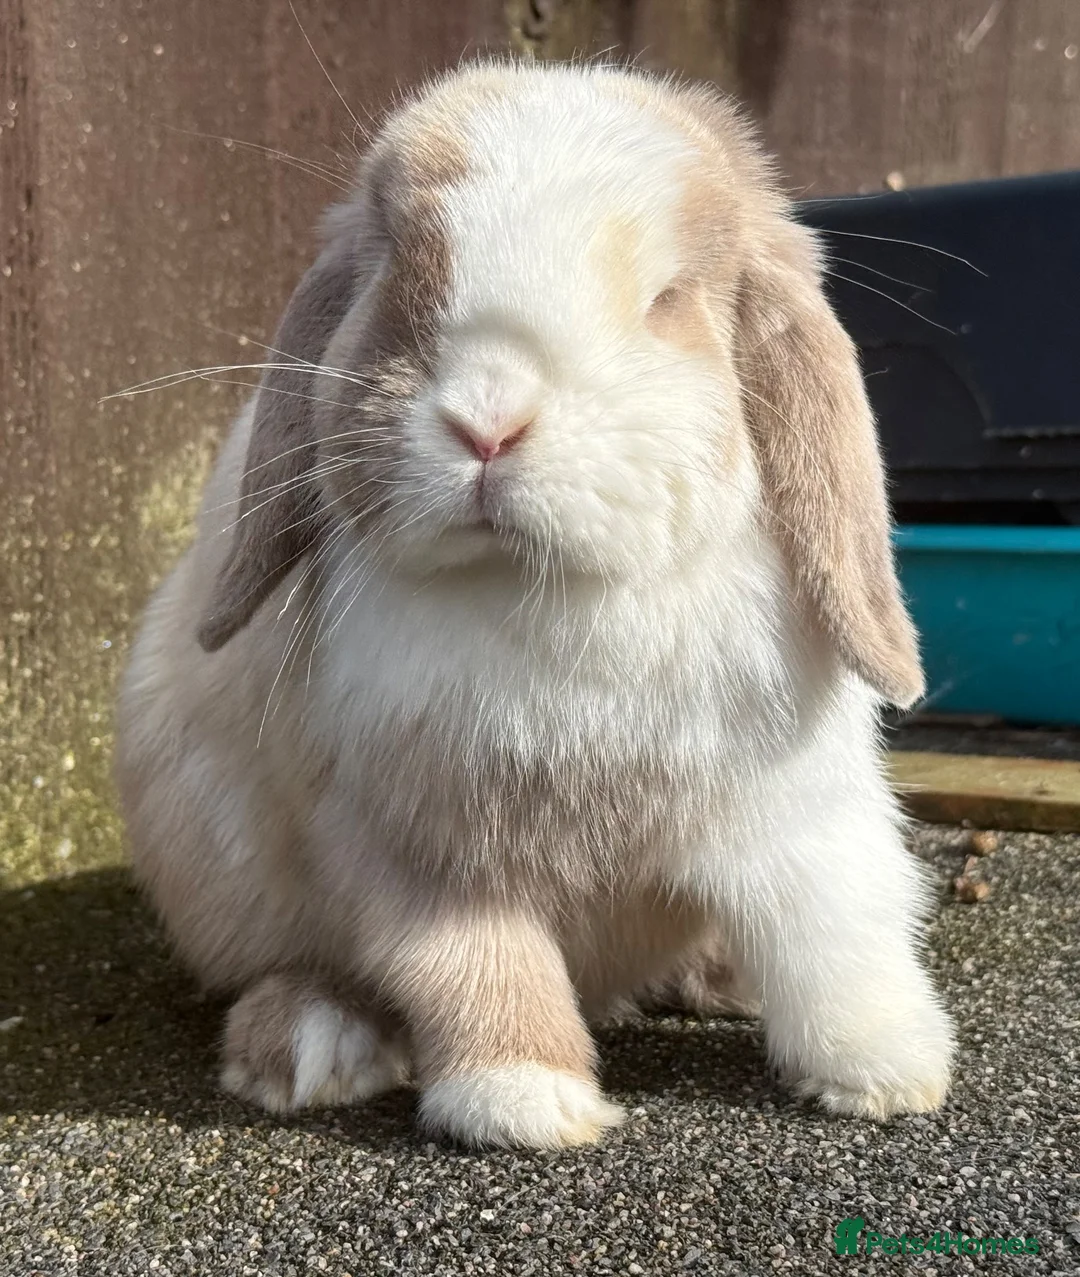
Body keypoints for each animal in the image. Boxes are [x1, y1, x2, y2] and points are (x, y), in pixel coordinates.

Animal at [115, 59, 955, 1150]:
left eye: (667, 299)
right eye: (398, 274)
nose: (488, 420)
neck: (549, 588)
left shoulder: (798, 809)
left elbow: (838, 926)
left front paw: (891, 1072)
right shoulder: (425, 851)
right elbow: (476, 966)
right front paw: (526, 1104)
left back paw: (720, 978)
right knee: (291, 970)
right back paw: (311, 1043)